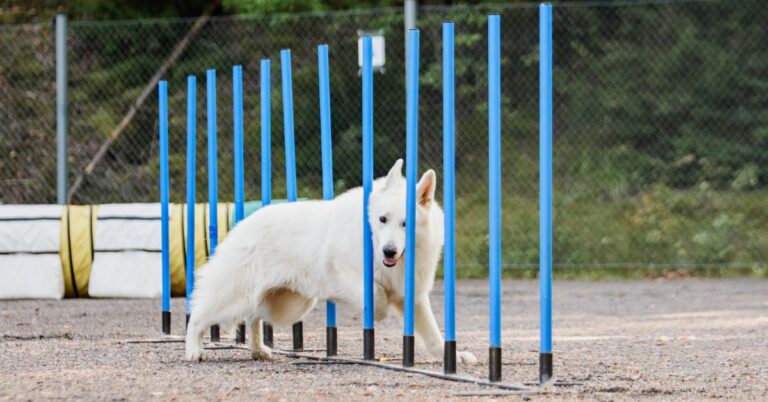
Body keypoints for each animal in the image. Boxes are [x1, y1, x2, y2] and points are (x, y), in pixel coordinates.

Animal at [184, 159, 474, 364]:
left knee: (253, 316)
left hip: (288, 306)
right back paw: (194, 349)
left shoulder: (412, 296)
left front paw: (453, 356)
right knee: (198, 314)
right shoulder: (343, 276)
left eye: (406, 224)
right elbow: (377, 297)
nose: (389, 252)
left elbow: (434, 334)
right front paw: (375, 311)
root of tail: (242, 224)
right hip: (236, 296)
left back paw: (258, 350)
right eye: (382, 219)